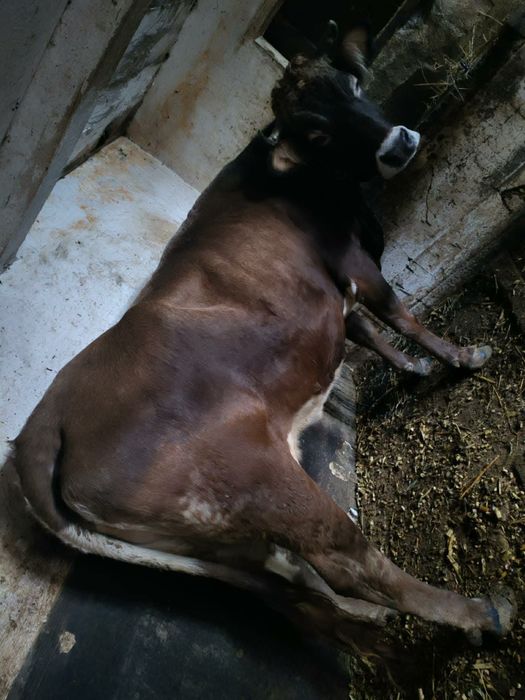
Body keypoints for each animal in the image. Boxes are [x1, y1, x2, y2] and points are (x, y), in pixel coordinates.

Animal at [10, 22, 514, 653]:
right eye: (317, 132)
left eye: (352, 83)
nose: (398, 143)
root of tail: (43, 424)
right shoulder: (357, 265)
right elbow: (401, 316)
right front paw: (462, 358)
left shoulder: (333, 295)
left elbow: (368, 331)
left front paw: (416, 369)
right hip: (261, 483)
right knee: (351, 561)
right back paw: (481, 612)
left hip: (215, 538)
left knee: (291, 585)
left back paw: (365, 623)